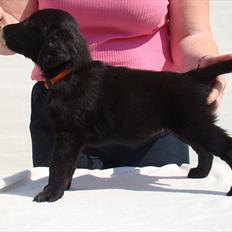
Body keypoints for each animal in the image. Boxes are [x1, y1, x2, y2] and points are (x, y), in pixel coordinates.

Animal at [2, 8, 232, 201]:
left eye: (31, 23)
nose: (4, 28)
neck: (71, 72)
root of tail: (192, 75)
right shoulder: (74, 138)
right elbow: (69, 166)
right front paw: (62, 189)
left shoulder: (67, 133)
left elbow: (57, 166)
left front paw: (50, 194)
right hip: (186, 126)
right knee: (205, 151)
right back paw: (199, 173)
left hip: (194, 123)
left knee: (223, 146)